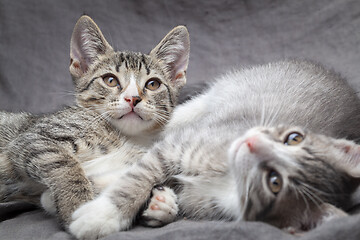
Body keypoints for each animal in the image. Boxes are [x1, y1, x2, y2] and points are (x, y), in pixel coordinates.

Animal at [0, 15, 190, 229]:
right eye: (110, 80)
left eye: (153, 84)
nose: (133, 98)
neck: (127, 137)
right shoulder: (33, 138)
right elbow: (64, 163)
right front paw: (76, 205)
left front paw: (160, 203)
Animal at [69, 60, 360, 240]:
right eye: (294, 138)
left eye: (274, 182)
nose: (252, 141)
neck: (228, 180)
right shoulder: (178, 145)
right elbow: (137, 177)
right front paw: (101, 214)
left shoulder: (203, 202)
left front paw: (162, 207)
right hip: (210, 99)